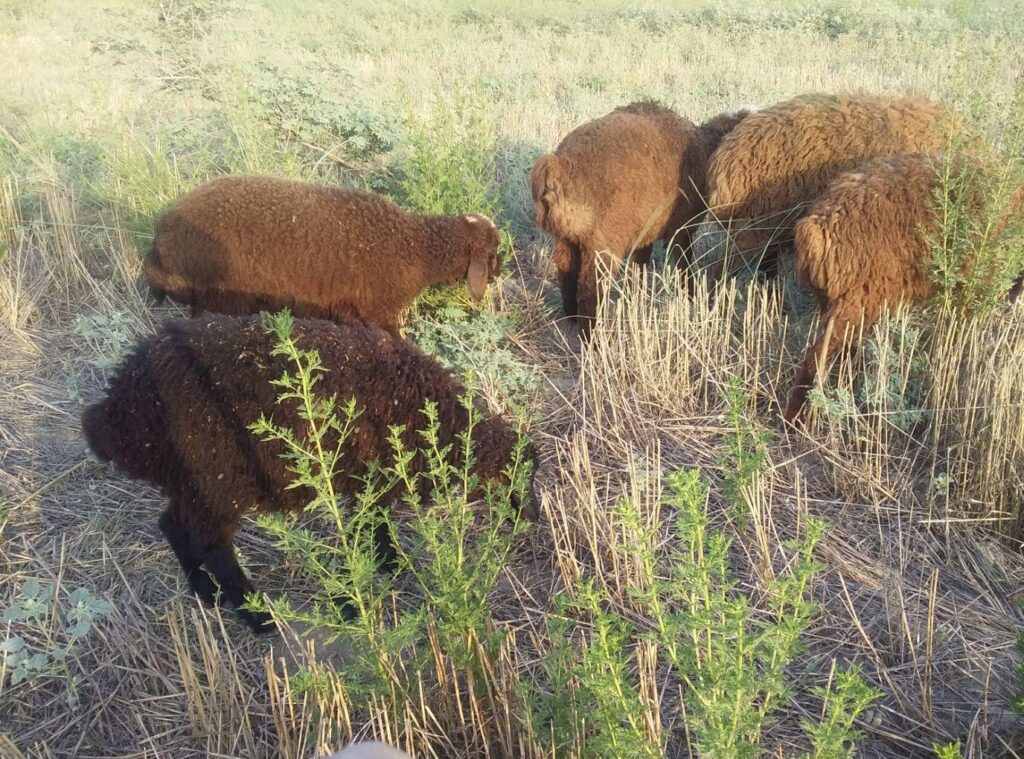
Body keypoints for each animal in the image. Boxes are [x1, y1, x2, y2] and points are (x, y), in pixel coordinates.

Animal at [81, 313, 536, 635]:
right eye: (518, 478)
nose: (530, 521)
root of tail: (121, 404)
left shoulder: (373, 479)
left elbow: (376, 522)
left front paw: (388, 564)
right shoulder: (376, 474)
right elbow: (371, 524)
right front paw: (371, 581)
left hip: (193, 481)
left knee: (173, 524)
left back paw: (205, 593)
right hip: (218, 475)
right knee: (213, 543)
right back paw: (257, 616)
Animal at [143, 177, 499, 338]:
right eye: (494, 252)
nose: (498, 274)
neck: (416, 246)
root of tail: (162, 233)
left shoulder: (347, 310)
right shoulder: (378, 310)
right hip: (218, 298)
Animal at [528, 101, 753, 333]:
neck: (705, 146)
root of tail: (560, 167)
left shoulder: (646, 231)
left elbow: (638, 267)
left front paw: (631, 300)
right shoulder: (681, 228)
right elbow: (684, 267)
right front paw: (690, 300)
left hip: (567, 236)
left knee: (566, 274)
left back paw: (572, 318)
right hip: (604, 242)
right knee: (591, 291)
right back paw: (596, 335)